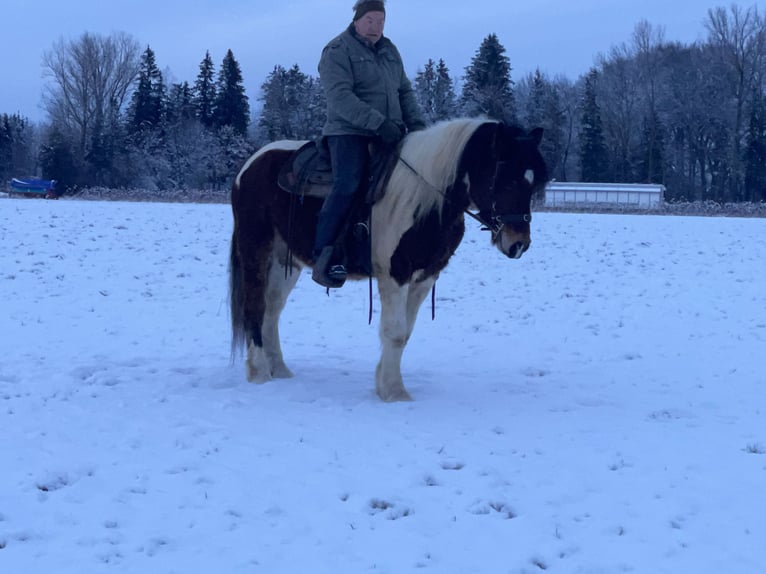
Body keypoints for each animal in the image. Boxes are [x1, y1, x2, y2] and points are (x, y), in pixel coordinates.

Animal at [231, 119, 548, 402]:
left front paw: (383, 384)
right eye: (506, 179)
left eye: (532, 184)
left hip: (286, 262)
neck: (426, 198)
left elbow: (405, 333)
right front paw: (395, 392)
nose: (518, 243)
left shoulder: (426, 276)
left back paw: (279, 369)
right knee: (255, 304)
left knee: (272, 309)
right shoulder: (395, 274)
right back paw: (259, 373)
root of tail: (250, 166)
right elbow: (394, 332)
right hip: (256, 248)